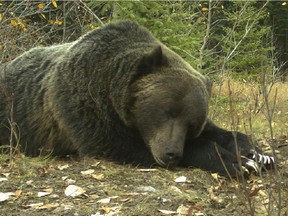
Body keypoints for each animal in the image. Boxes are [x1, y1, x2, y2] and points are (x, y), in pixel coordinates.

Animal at [0, 20, 274, 176]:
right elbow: (120, 144)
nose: (172, 154)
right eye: (168, 111)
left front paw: (257, 153)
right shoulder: (81, 106)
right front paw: (238, 162)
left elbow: (221, 131)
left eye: (191, 124)